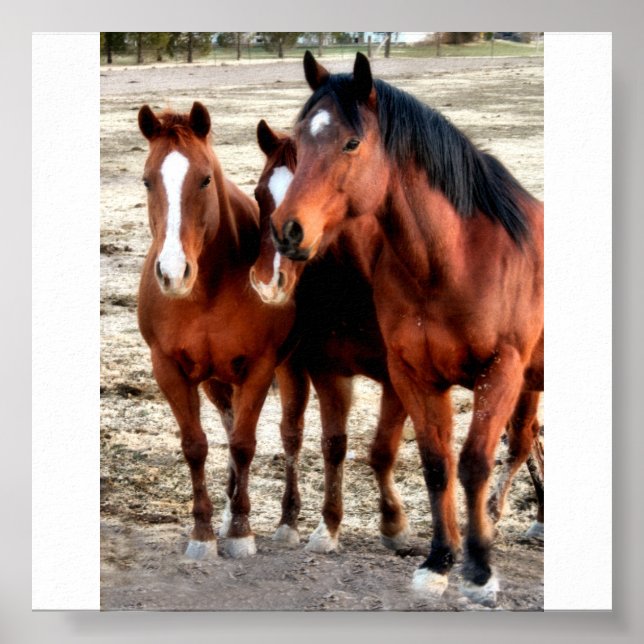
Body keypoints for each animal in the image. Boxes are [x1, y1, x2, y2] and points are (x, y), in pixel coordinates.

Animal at [136, 101, 298, 560]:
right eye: (147, 180)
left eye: (205, 178)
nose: (173, 273)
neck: (206, 290)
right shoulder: (169, 368)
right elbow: (196, 446)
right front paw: (205, 531)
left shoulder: (261, 367)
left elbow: (244, 444)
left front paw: (242, 532)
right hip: (215, 380)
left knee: (289, 436)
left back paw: (287, 520)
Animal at [249, 120, 411, 552]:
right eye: (259, 194)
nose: (269, 281)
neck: (358, 284)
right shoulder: (328, 371)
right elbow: (334, 445)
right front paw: (329, 526)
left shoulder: (399, 380)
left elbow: (383, 448)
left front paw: (394, 524)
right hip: (290, 368)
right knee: (291, 434)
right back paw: (288, 520)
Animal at [269, 52, 544, 606]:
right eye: (302, 139)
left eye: (352, 143)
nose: (288, 231)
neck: (452, 262)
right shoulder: (413, 375)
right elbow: (436, 463)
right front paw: (439, 561)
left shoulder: (500, 372)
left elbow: (474, 462)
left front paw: (479, 570)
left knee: (521, 445)